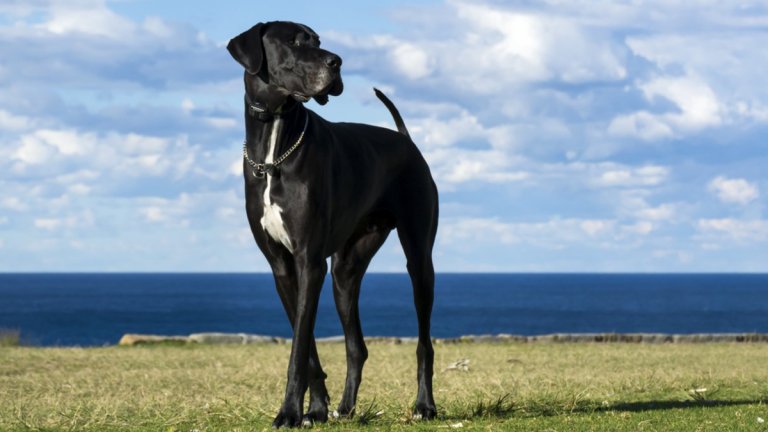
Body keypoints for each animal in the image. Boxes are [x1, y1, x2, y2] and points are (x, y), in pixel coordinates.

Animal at [226, 22, 438, 426]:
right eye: (294, 41)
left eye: (318, 41)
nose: (336, 62)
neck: (275, 146)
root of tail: (405, 140)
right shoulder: (284, 266)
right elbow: (305, 345)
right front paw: (315, 410)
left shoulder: (309, 262)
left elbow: (298, 348)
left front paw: (290, 412)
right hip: (345, 270)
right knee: (356, 346)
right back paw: (346, 408)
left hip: (419, 258)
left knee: (424, 343)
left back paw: (424, 406)